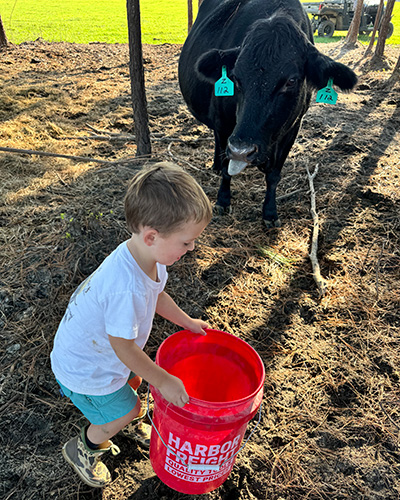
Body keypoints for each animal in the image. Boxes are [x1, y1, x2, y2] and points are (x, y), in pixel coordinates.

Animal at [180, 0, 358, 227]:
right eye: (236, 77)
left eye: (291, 81)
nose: (242, 150)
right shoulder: (225, 123)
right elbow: (228, 163)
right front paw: (223, 200)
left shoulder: (292, 128)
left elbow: (274, 175)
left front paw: (270, 213)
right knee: (219, 143)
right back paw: (217, 165)